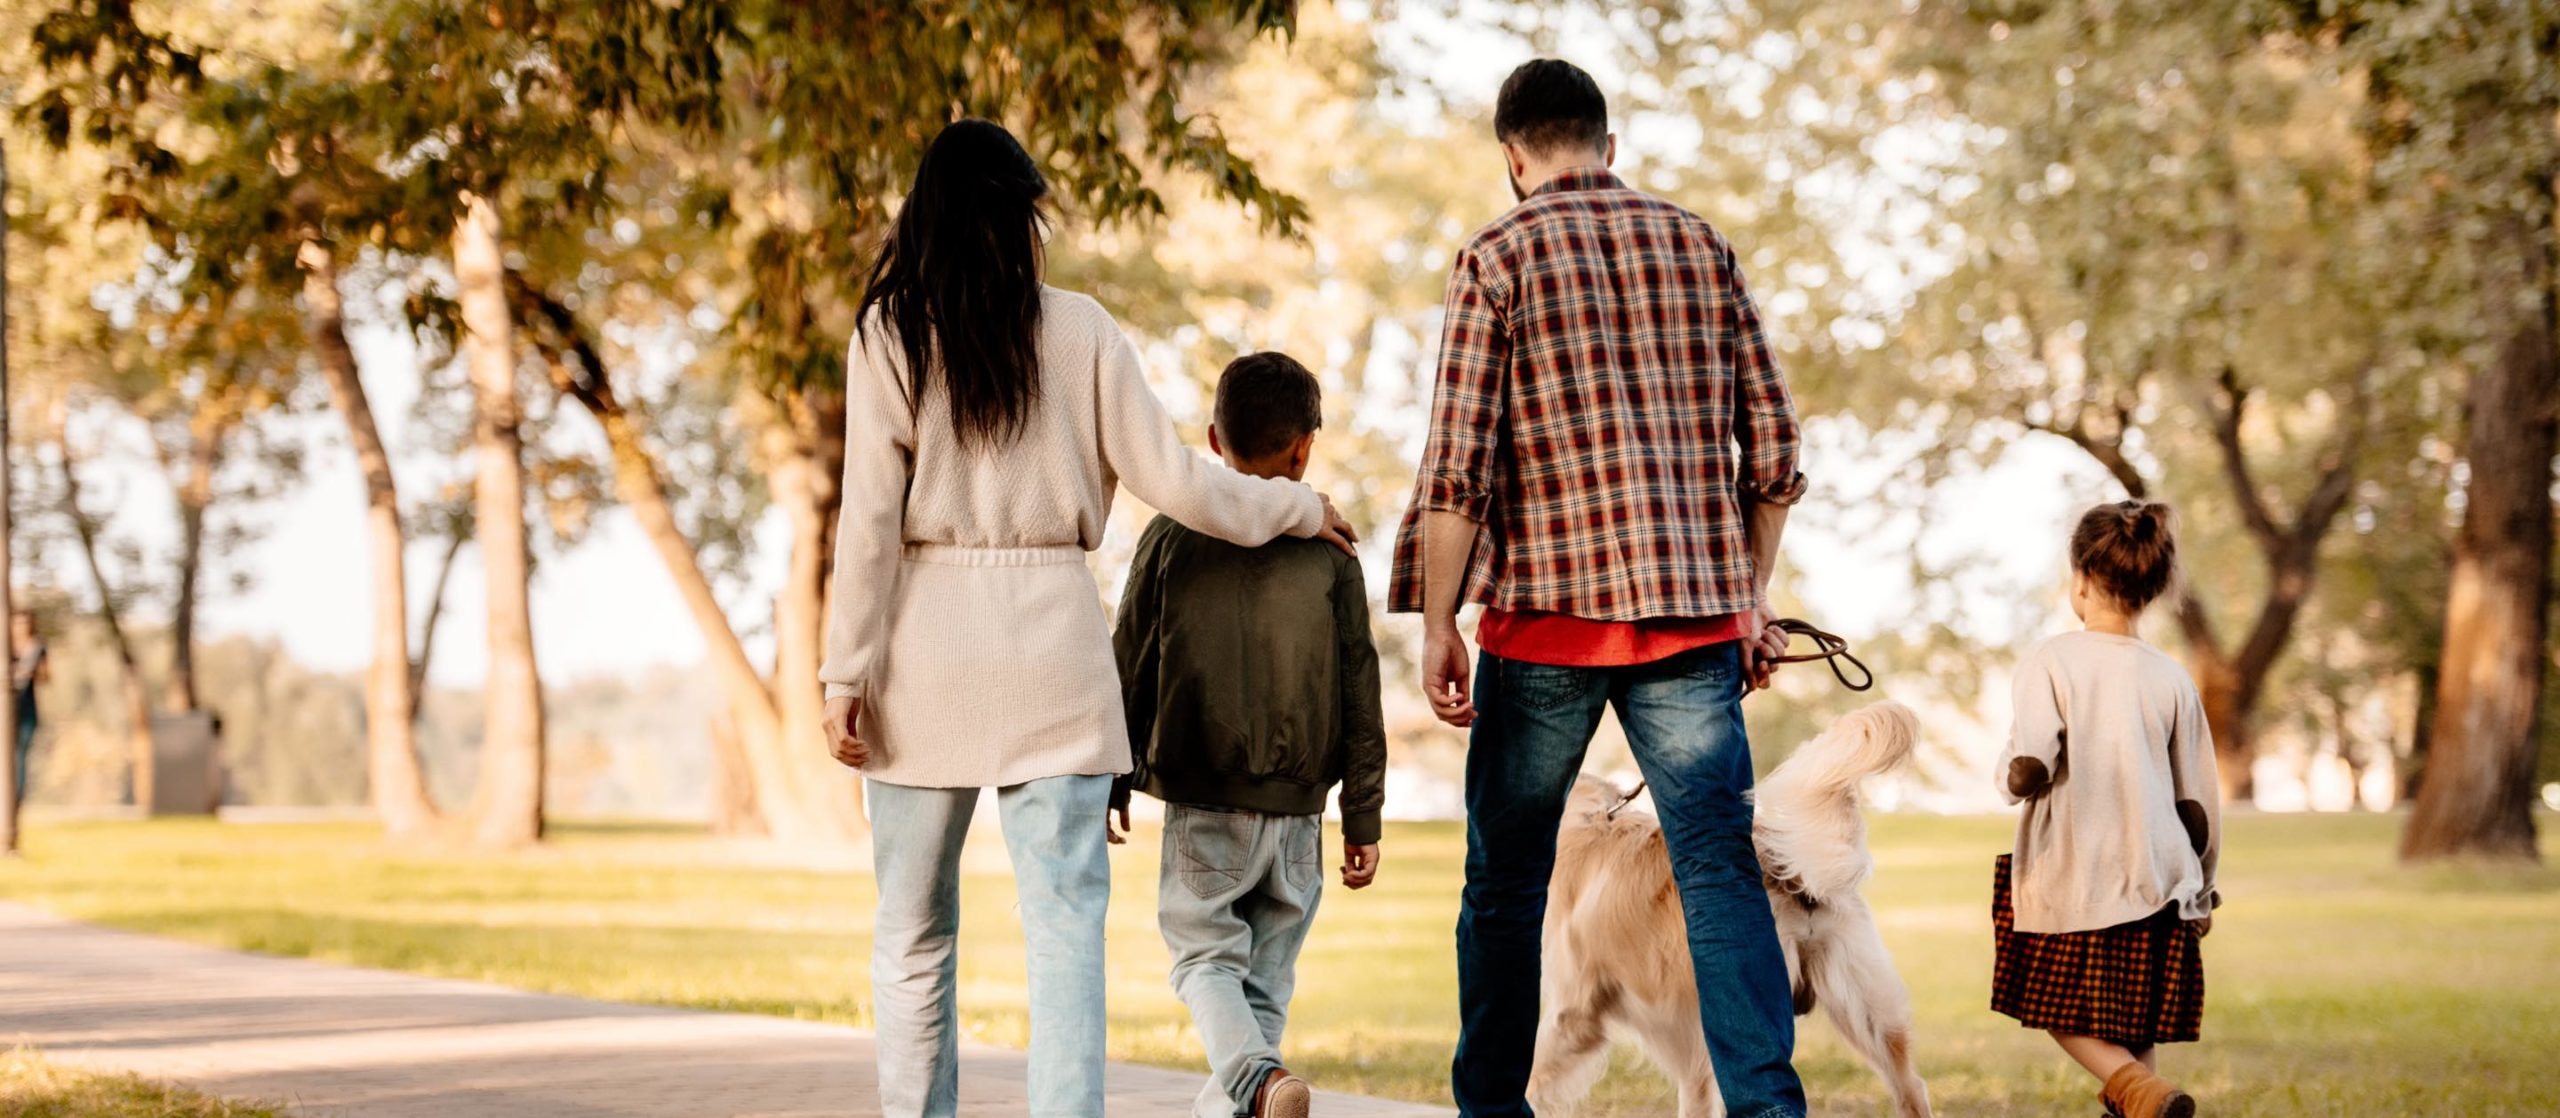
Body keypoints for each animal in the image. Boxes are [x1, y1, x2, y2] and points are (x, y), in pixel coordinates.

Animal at [1525, 700, 1925, 1110]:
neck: (1589, 818)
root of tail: (1788, 871)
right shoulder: (1688, 1055)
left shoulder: (1571, 1011)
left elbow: (1531, 1078)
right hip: (1866, 1009)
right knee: (1911, 1087)